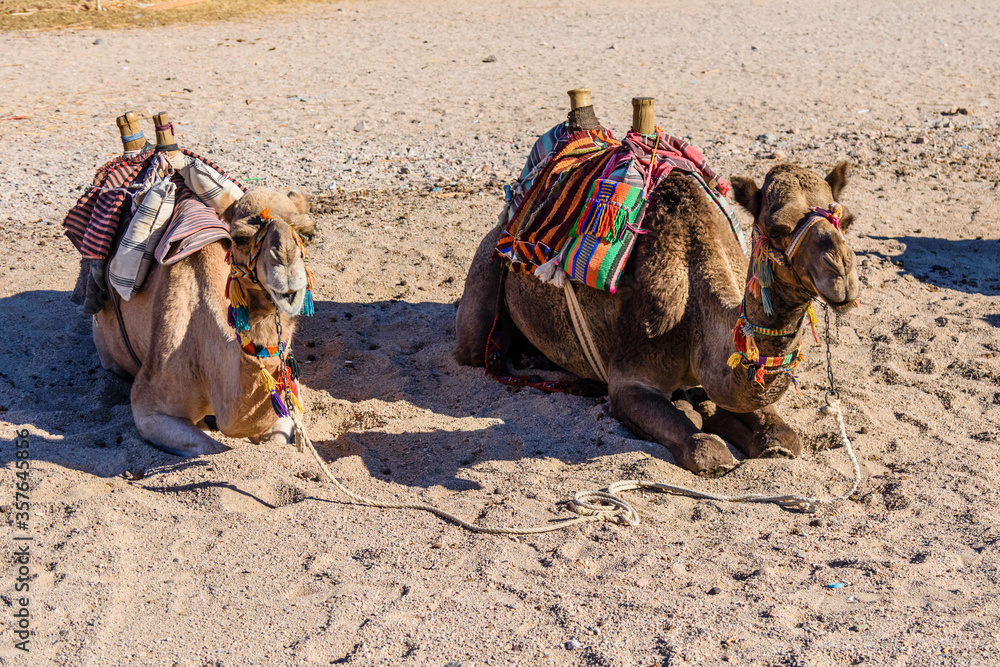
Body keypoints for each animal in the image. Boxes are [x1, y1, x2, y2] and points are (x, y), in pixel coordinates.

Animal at [93, 186, 317, 457]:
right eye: (239, 238)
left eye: (307, 234)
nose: (286, 268)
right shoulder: (148, 409)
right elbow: (212, 447)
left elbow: (277, 438)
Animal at [455, 153, 859, 476]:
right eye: (776, 230)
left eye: (846, 220)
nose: (842, 273)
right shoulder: (631, 376)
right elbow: (704, 448)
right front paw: (702, 428)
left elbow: (785, 437)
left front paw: (757, 433)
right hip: (486, 268)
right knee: (474, 346)